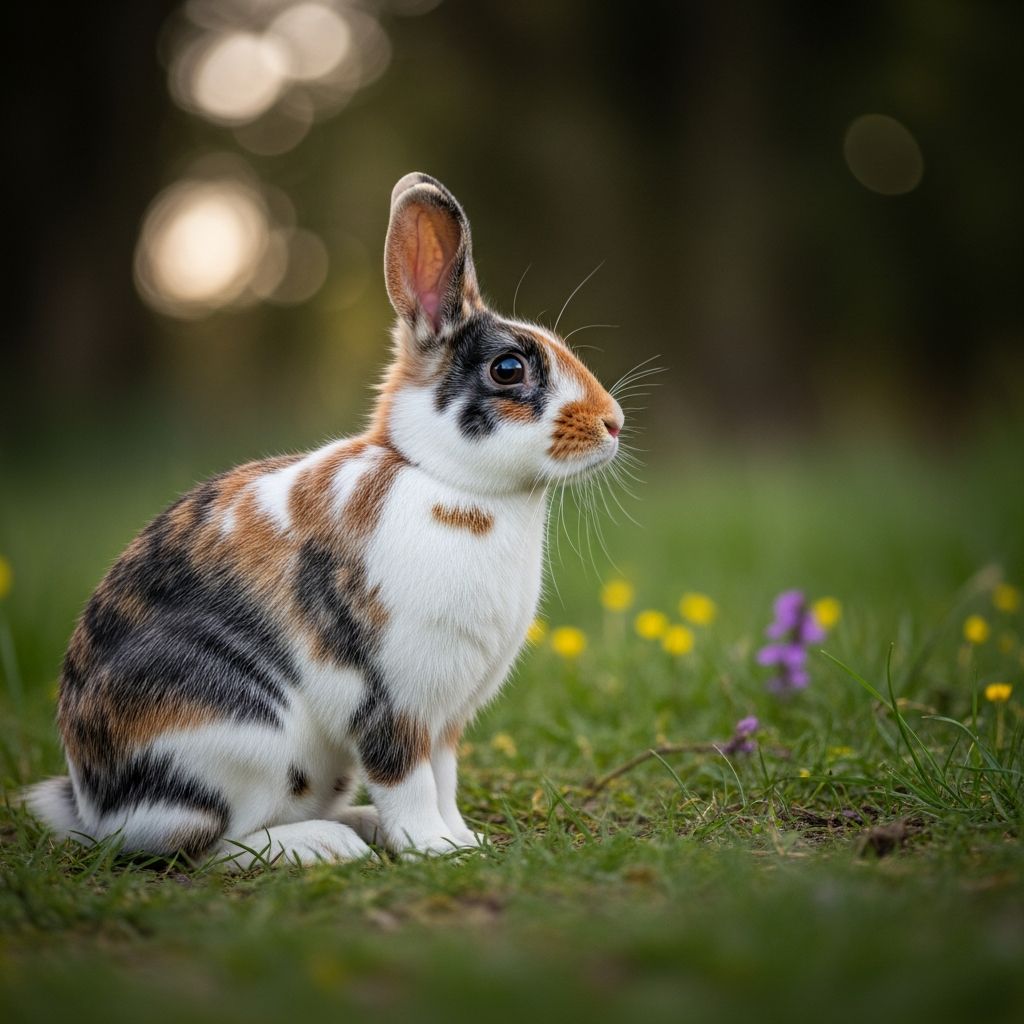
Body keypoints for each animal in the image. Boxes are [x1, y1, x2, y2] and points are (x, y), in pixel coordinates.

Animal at [22, 172, 624, 869]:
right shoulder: (391, 700)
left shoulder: (444, 718)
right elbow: (408, 780)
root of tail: (95, 809)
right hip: (237, 740)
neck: (444, 478)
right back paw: (327, 845)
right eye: (509, 369)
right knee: (212, 845)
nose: (613, 422)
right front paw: (432, 849)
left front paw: (463, 840)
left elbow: (443, 780)